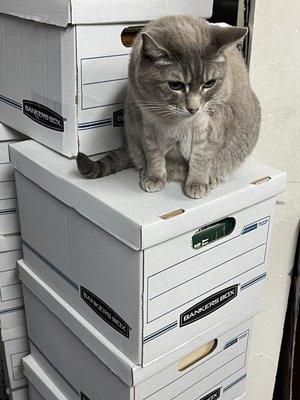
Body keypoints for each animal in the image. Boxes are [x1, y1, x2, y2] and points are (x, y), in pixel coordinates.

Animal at [77, 16, 260, 199]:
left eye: (209, 83)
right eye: (175, 85)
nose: (193, 109)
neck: (174, 119)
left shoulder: (210, 125)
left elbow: (201, 158)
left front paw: (197, 184)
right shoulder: (146, 123)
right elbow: (154, 156)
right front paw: (154, 178)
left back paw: (209, 178)